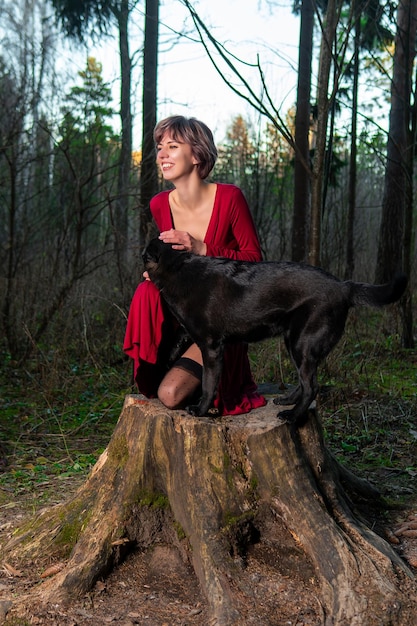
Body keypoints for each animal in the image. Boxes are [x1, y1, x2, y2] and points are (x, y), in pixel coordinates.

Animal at [143, 239, 406, 424]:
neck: (178, 268)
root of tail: (344, 286)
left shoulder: (211, 347)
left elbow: (209, 383)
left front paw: (200, 410)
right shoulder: (191, 333)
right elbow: (174, 344)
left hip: (302, 343)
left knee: (311, 386)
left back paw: (293, 416)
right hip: (295, 342)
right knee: (305, 381)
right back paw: (287, 401)